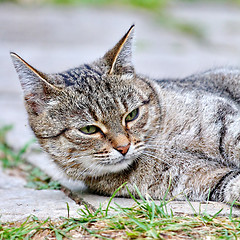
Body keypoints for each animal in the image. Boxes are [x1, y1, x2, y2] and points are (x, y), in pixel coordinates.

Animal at [11, 25, 240, 203]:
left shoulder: (226, 122)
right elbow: (230, 182)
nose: (123, 147)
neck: (161, 143)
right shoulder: (200, 179)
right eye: (89, 129)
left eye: (132, 115)